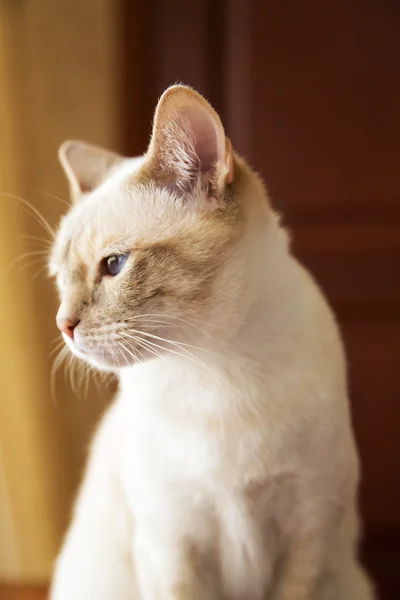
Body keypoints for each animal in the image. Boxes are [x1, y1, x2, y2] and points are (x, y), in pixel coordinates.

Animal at [48, 84, 374, 600]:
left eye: (114, 265)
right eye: (59, 279)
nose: (63, 325)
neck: (215, 365)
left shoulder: (307, 536)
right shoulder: (173, 546)